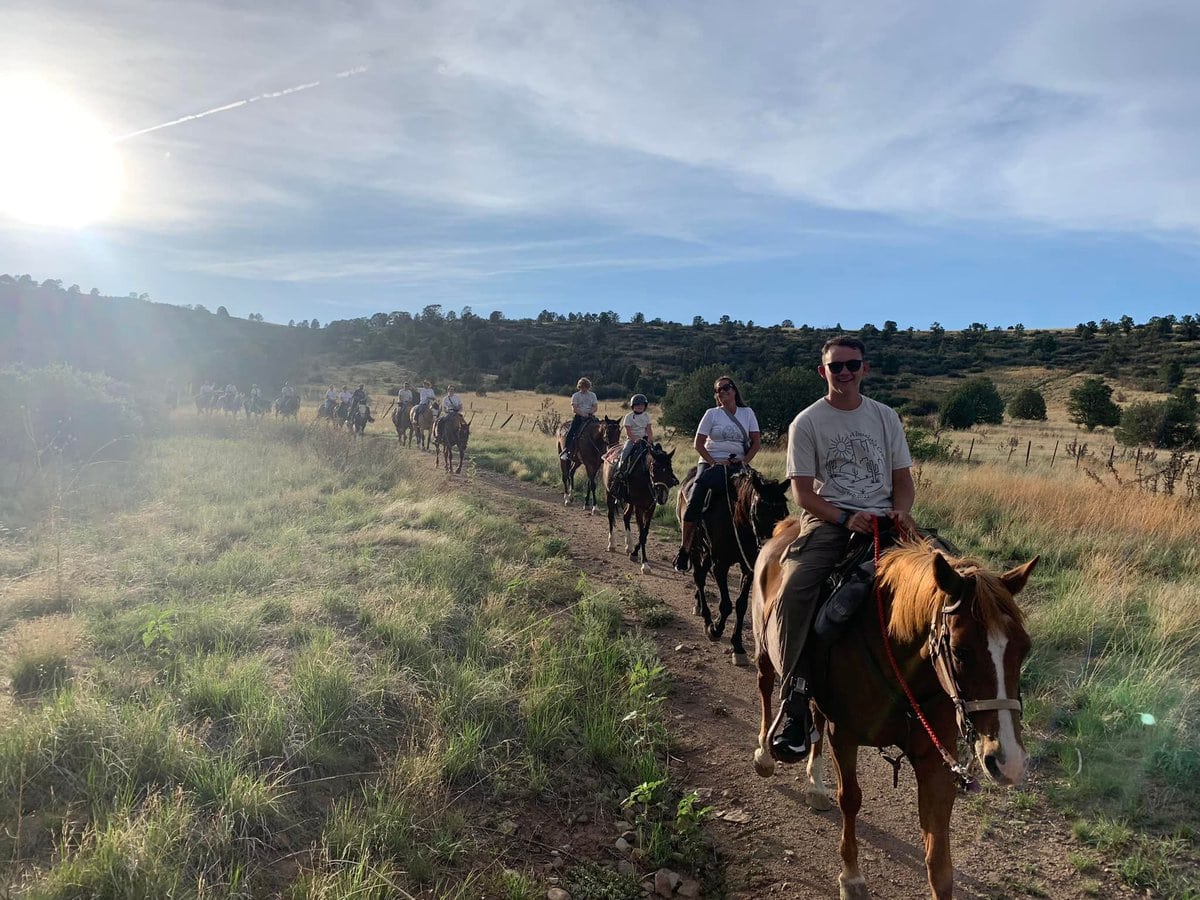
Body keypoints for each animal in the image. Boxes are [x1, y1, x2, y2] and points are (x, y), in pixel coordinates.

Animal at [600, 446, 676, 578]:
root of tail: (610, 450)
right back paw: (612, 544)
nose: (662, 496)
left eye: (669, 469)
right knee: (610, 516)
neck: (644, 478)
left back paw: (629, 546)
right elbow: (641, 534)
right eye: (653, 469)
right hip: (609, 493)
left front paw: (635, 553)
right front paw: (645, 565)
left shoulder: (651, 508)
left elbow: (644, 533)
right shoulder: (639, 508)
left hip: (630, 502)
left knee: (626, 516)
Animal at [672, 468, 792, 667]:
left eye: (784, 512)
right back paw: (706, 616)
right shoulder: (720, 565)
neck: (737, 520)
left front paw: (738, 646)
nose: (773, 550)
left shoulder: (748, 568)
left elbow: (741, 605)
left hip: (706, 553)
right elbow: (727, 604)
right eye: (759, 512)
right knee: (699, 577)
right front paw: (715, 629)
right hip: (696, 547)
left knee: (701, 576)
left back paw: (699, 606)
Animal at [753, 528, 1036, 900]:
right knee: (765, 687)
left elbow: (939, 861)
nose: (1009, 761)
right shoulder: (844, 736)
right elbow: (851, 799)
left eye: (1024, 649)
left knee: (814, 715)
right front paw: (851, 877)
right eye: (960, 651)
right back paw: (764, 755)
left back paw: (815, 785)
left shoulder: (934, 761)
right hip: (764, 649)